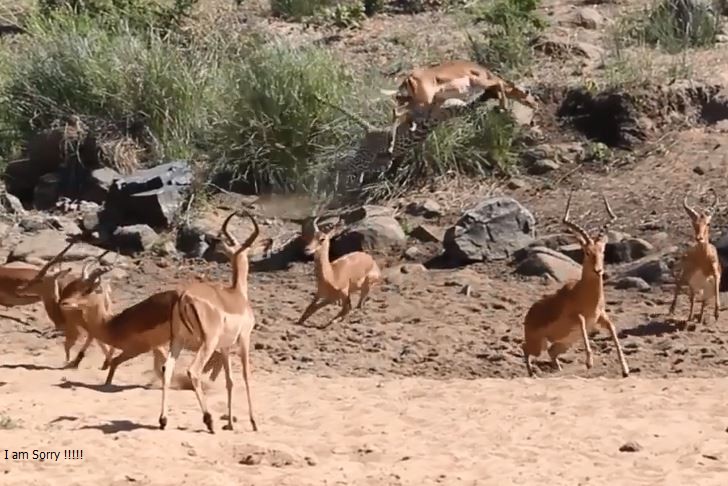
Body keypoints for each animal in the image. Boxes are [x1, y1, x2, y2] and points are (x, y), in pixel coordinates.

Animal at [159, 210, 260, 433]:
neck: (237, 295)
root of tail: (185, 296)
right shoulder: (244, 339)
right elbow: (246, 376)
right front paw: (253, 422)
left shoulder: (225, 347)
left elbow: (230, 380)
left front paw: (230, 423)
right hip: (207, 343)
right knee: (193, 371)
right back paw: (209, 420)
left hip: (178, 340)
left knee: (167, 368)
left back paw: (163, 420)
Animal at [380, 60, 539, 154]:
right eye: (528, 92)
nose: (535, 104)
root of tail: (408, 78)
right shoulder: (479, 82)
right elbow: (499, 84)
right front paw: (503, 106)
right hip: (423, 102)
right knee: (397, 111)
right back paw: (390, 147)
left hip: (419, 104)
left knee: (399, 110)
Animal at [522, 191, 630, 378]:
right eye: (586, 252)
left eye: (602, 251)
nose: (598, 270)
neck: (584, 294)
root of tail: (528, 316)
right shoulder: (578, 318)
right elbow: (582, 322)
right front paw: (589, 362)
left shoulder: (601, 317)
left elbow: (613, 330)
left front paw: (625, 369)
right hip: (539, 344)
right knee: (525, 348)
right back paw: (532, 374)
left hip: (564, 343)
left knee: (551, 352)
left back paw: (557, 370)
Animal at [669, 189, 721, 324]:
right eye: (694, 223)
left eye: (708, 223)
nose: (699, 238)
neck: (703, 258)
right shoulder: (688, 272)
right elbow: (679, 285)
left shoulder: (715, 272)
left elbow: (716, 285)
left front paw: (717, 313)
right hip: (690, 281)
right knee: (689, 296)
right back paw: (685, 315)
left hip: (704, 288)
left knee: (701, 301)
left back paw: (698, 318)